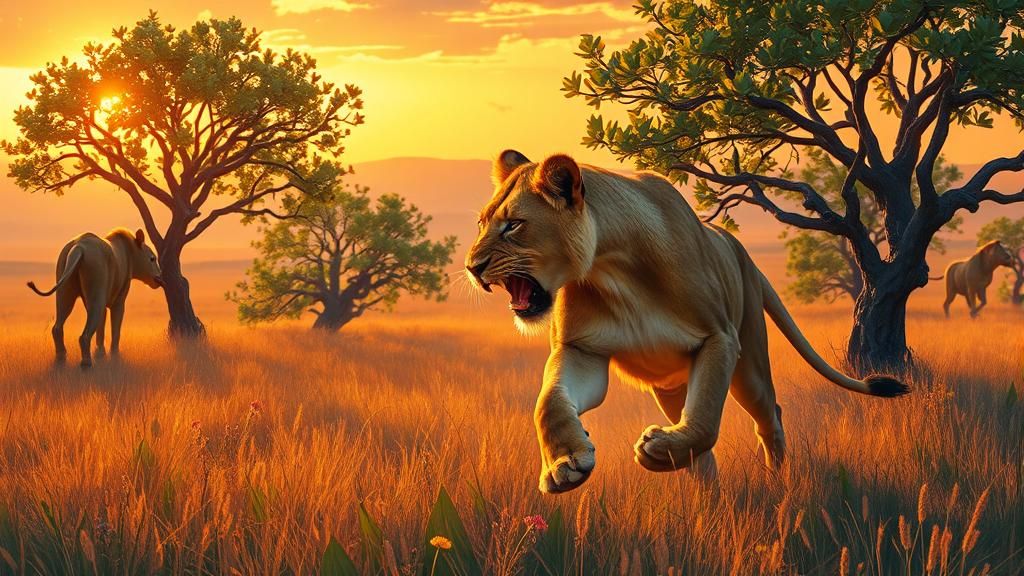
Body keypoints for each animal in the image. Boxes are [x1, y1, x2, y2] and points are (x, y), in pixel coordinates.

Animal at [28, 228, 163, 367]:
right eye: (152, 259)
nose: (160, 277)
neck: (130, 253)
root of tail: (78, 247)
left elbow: (100, 328)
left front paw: (100, 354)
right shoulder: (118, 300)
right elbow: (115, 329)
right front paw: (115, 357)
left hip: (64, 285)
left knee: (57, 326)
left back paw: (60, 360)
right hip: (96, 281)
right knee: (84, 335)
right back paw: (86, 363)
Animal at [465, 150, 909, 493]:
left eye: (514, 225)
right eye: (481, 223)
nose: (472, 267)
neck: (611, 269)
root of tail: (741, 252)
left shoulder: (718, 338)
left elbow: (707, 416)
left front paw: (657, 450)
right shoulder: (582, 350)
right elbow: (550, 403)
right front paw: (564, 464)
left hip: (749, 363)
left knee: (768, 416)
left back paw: (776, 479)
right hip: (669, 385)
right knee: (699, 443)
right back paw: (705, 494)